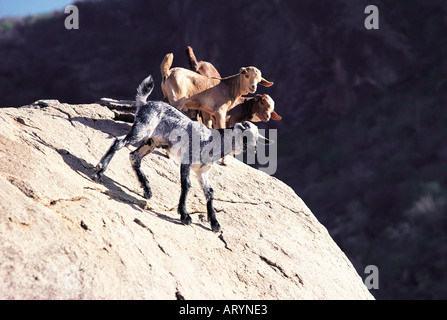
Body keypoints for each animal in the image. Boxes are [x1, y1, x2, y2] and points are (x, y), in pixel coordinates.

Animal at [93, 74, 272, 232]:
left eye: (257, 138)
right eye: (246, 135)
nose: (254, 148)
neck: (211, 142)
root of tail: (145, 104)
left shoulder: (201, 171)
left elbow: (209, 192)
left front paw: (215, 224)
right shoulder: (187, 160)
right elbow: (186, 185)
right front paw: (185, 216)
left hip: (152, 142)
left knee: (134, 156)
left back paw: (147, 189)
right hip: (142, 130)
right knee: (119, 142)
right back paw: (100, 172)